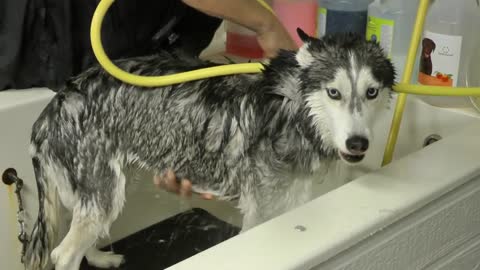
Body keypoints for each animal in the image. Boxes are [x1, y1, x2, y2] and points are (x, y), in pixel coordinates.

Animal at [23, 28, 394, 268]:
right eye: (334, 93)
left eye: (371, 92)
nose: (358, 143)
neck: (289, 108)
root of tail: (52, 107)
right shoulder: (259, 215)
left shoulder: (293, 201)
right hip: (102, 191)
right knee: (63, 254)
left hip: (97, 193)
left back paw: (101, 257)